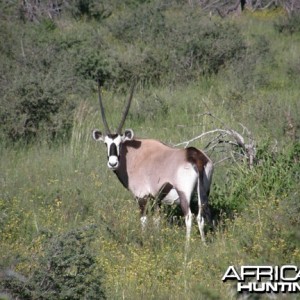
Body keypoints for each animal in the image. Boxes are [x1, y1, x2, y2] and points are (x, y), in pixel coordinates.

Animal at [93, 83, 213, 243]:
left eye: (120, 143)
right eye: (106, 143)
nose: (113, 163)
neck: (135, 155)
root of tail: (196, 157)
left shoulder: (142, 197)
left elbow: (144, 220)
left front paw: (145, 240)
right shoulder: (157, 200)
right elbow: (157, 221)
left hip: (184, 194)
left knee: (189, 217)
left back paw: (187, 248)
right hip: (204, 192)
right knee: (202, 217)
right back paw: (204, 245)